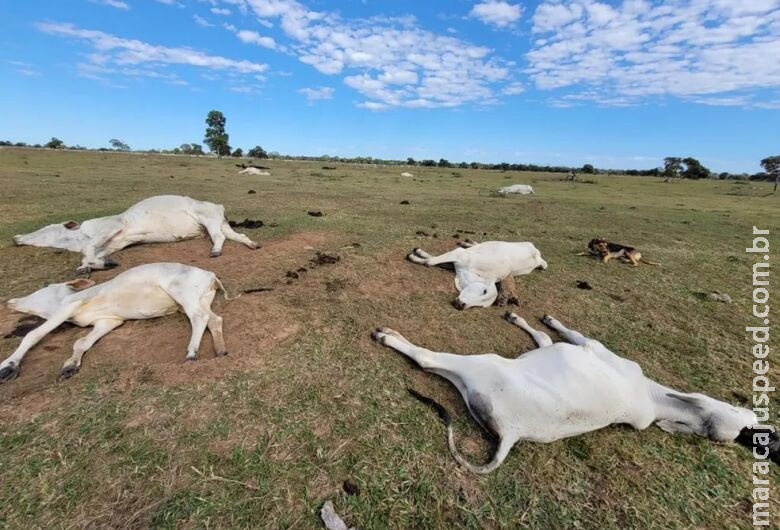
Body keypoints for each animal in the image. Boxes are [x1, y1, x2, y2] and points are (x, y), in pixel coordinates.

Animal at [0, 260, 230, 380]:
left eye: (45, 287)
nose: (11, 301)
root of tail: (210, 274)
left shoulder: (69, 306)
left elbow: (33, 334)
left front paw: (8, 366)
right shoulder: (108, 321)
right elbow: (82, 342)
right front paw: (70, 366)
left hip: (182, 293)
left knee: (199, 318)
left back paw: (192, 353)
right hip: (200, 300)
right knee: (214, 319)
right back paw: (220, 350)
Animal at [12, 196, 262, 274]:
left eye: (47, 229)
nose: (16, 238)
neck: (81, 235)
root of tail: (218, 206)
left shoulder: (113, 226)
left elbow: (89, 250)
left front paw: (95, 264)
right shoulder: (113, 243)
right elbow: (91, 256)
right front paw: (93, 266)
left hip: (209, 221)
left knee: (220, 238)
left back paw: (216, 251)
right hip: (220, 223)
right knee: (237, 235)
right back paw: (253, 244)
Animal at [374, 310, 780, 470]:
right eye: (745, 419)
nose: (766, 436)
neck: (653, 398)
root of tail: (512, 433)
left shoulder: (590, 346)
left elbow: (563, 333)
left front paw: (547, 319)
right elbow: (542, 338)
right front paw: (521, 317)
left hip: (481, 364)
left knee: (427, 360)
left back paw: (388, 335)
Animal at [408, 237, 548, 308]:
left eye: (481, 306)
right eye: (484, 291)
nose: (461, 305)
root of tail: (538, 257)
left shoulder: (455, 262)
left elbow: (432, 260)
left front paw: (417, 255)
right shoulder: (459, 254)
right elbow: (431, 261)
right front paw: (415, 255)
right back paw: (466, 242)